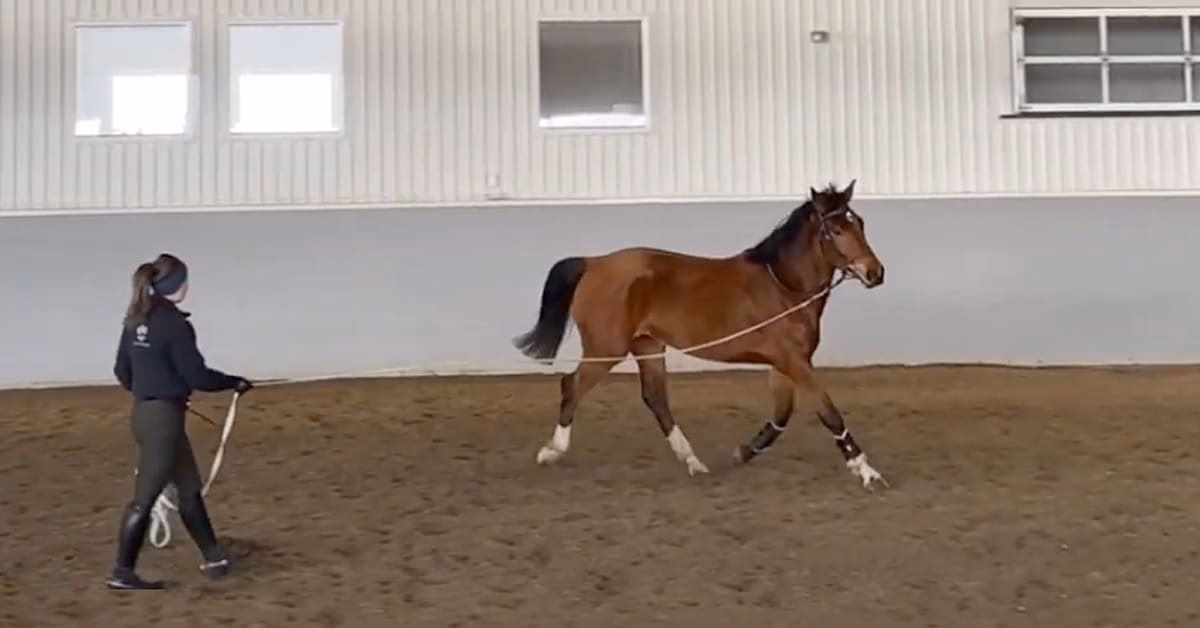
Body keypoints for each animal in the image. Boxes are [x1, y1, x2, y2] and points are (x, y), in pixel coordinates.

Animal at [511, 180, 888, 489]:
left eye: (859, 223)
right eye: (836, 229)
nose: (875, 272)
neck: (784, 286)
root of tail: (594, 262)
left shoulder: (785, 364)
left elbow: (782, 414)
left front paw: (745, 451)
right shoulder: (793, 361)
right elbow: (828, 411)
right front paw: (866, 471)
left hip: (647, 345)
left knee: (655, 398)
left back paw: (693, 461)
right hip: (607, 348)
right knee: (572, 386)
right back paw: (551, 451)